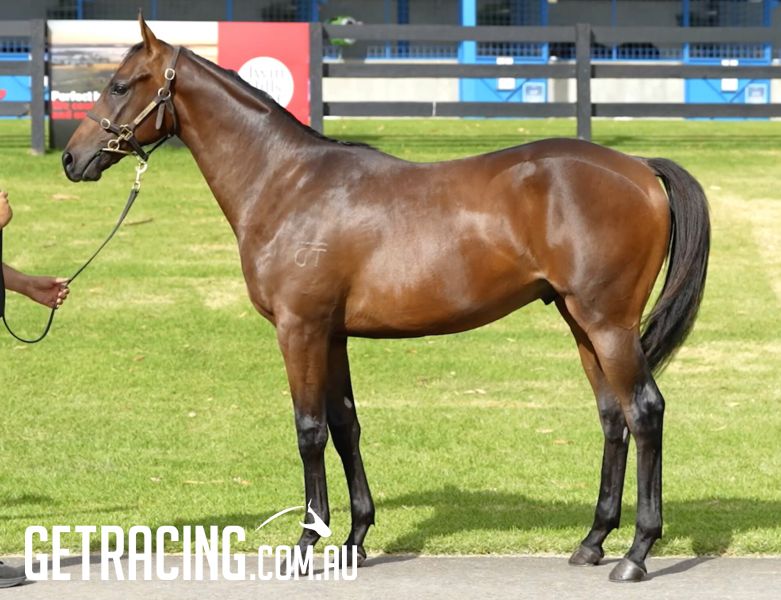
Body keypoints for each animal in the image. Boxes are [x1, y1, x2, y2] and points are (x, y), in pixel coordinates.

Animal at [61, 16, 710, 582]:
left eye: (120, 84)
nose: (72, 157)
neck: (285, 183)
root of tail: (639, 168)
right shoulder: (332, 334)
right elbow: (345, 426)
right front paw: (353, 540)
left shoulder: (299, 329)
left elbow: (309, 431)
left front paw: (305, 546)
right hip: (582, 323)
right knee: (613, 417)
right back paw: (593, 542)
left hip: (609, 325)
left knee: (645, 411)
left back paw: (637, 554)